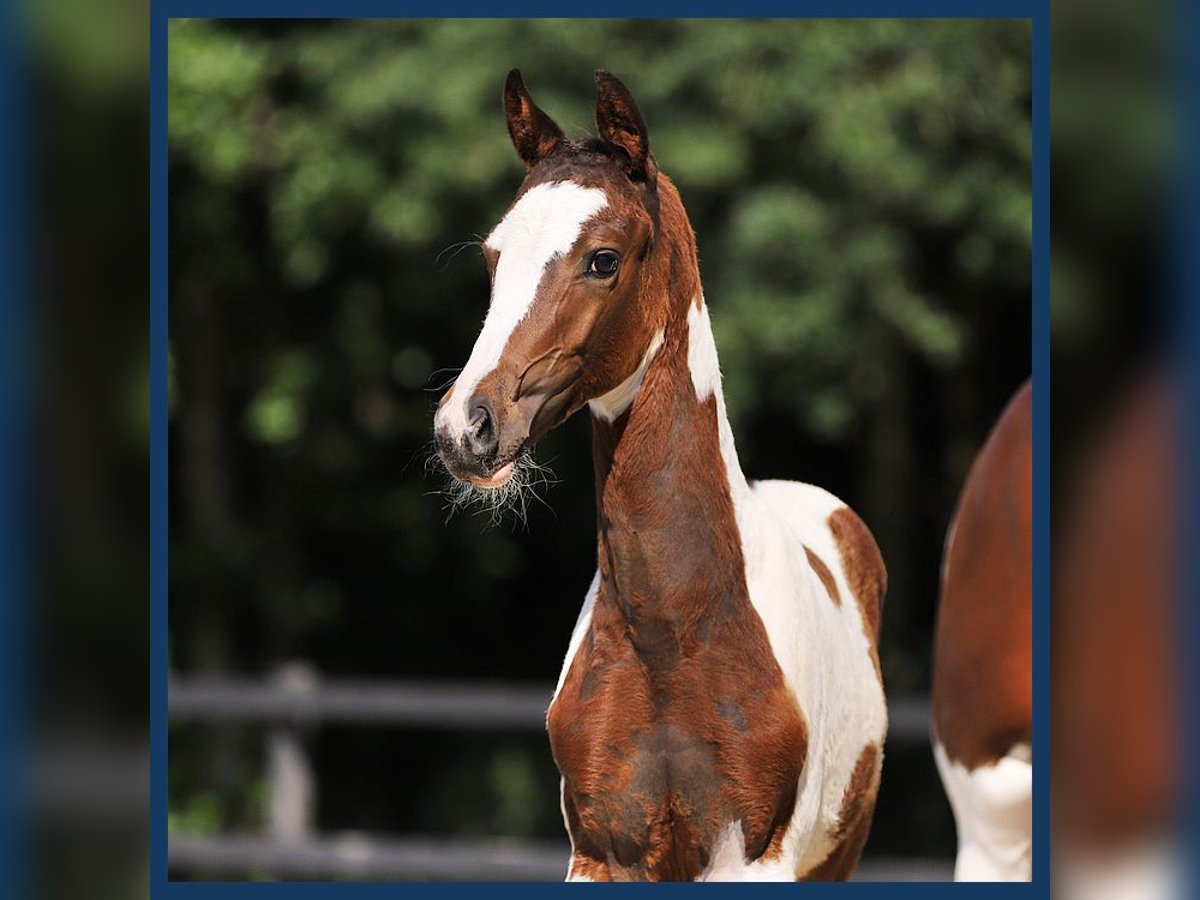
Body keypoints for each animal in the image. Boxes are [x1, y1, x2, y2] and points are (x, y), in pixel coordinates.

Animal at [436, 68, 888, 883]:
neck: (673, 633)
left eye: (603, 258)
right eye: (494, 256)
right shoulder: (600, 853)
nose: (467, 428)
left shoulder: (753, 855)